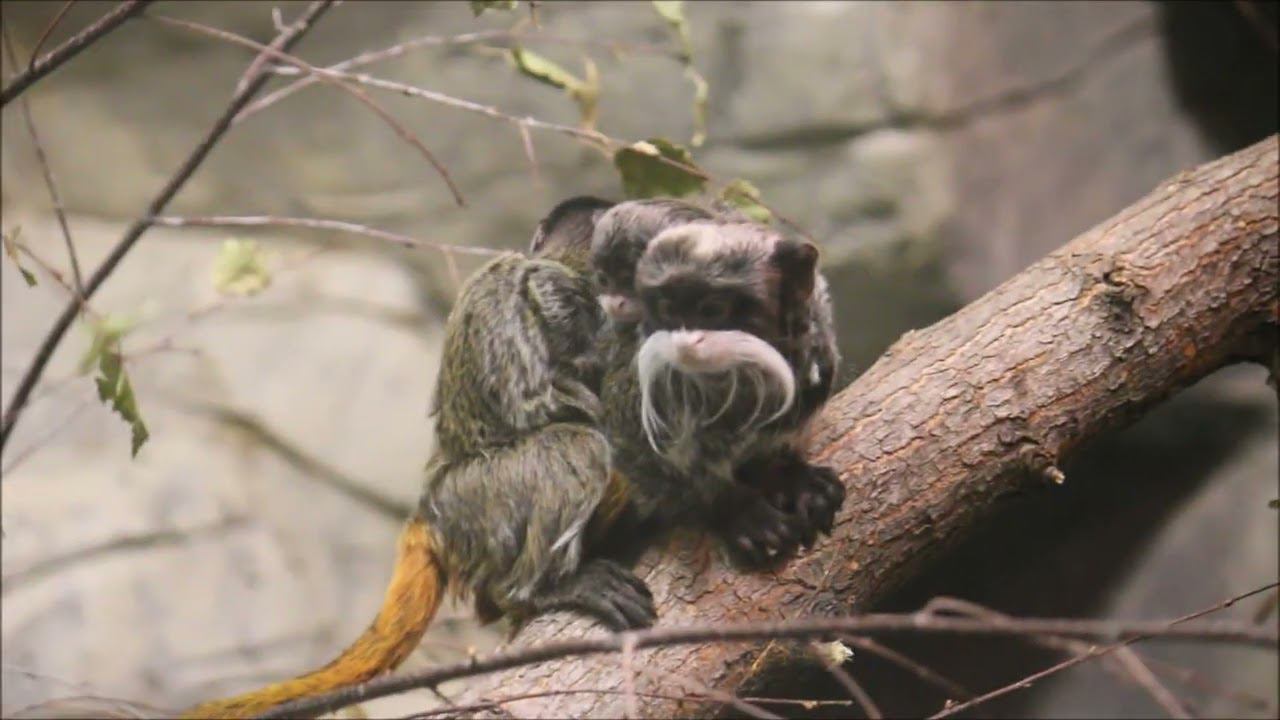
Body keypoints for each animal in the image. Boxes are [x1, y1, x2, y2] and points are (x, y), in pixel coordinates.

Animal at [182, 196, 655, 719]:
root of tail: (428, 513)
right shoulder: (548, 284)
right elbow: (547, 386)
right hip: (481, 497)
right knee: (578, 445)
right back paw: (534, 590)